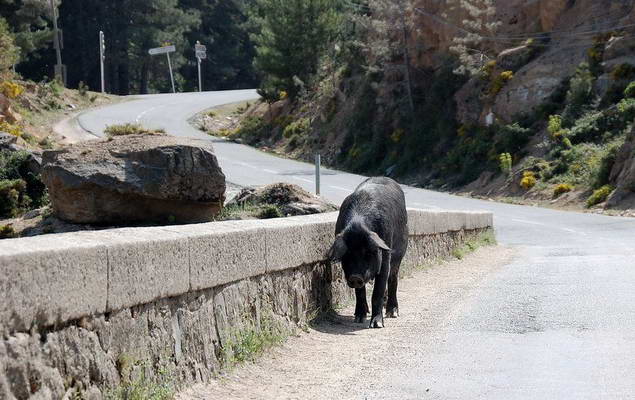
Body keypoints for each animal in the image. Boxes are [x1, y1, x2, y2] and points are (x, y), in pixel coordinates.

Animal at [328, 178, 408, 328]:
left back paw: (392, 313)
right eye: (347, 254)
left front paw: (377, 325)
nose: (355, 277)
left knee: (393, 279)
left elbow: (377, 291)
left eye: (369, 252)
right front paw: (359, 318)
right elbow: (359, 292)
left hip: (400, 255)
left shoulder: (385, 255)